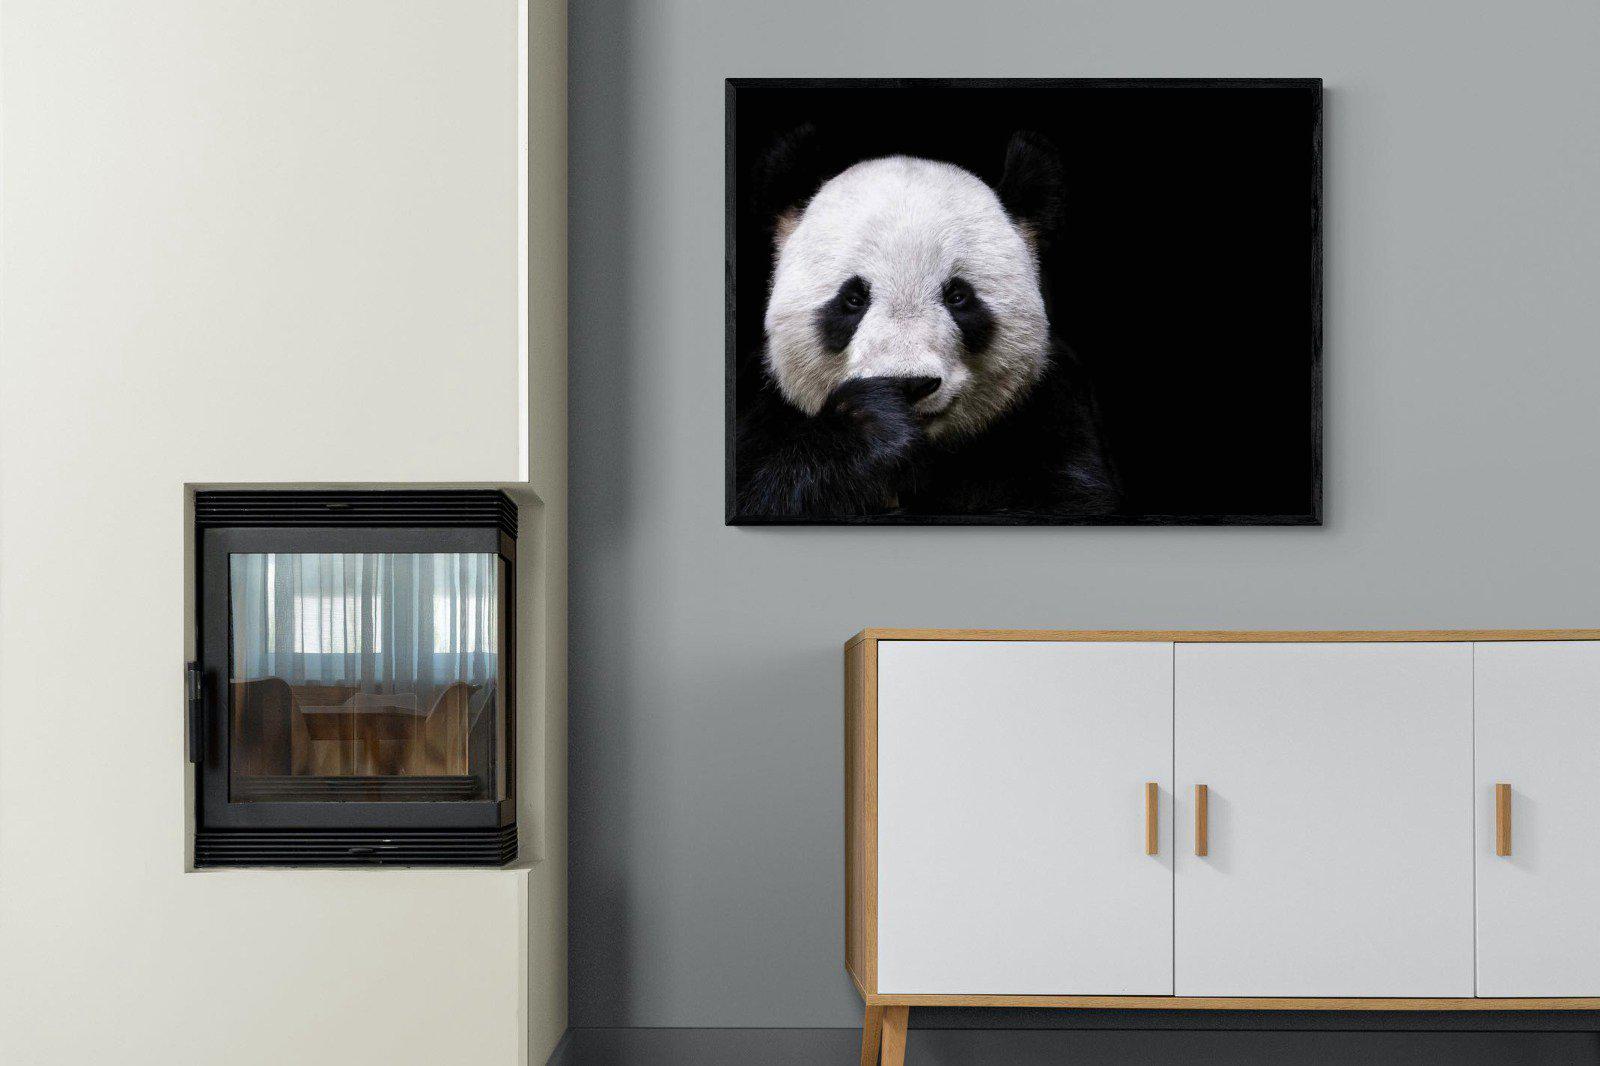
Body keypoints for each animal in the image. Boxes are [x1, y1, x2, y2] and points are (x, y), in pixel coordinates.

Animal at [735, 129, 1121, 520]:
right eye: (853, 299)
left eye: (958, 296)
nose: (910, 384)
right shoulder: (762, 408)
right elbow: (763, 490)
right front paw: (871, 424)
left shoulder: (1052, 413)